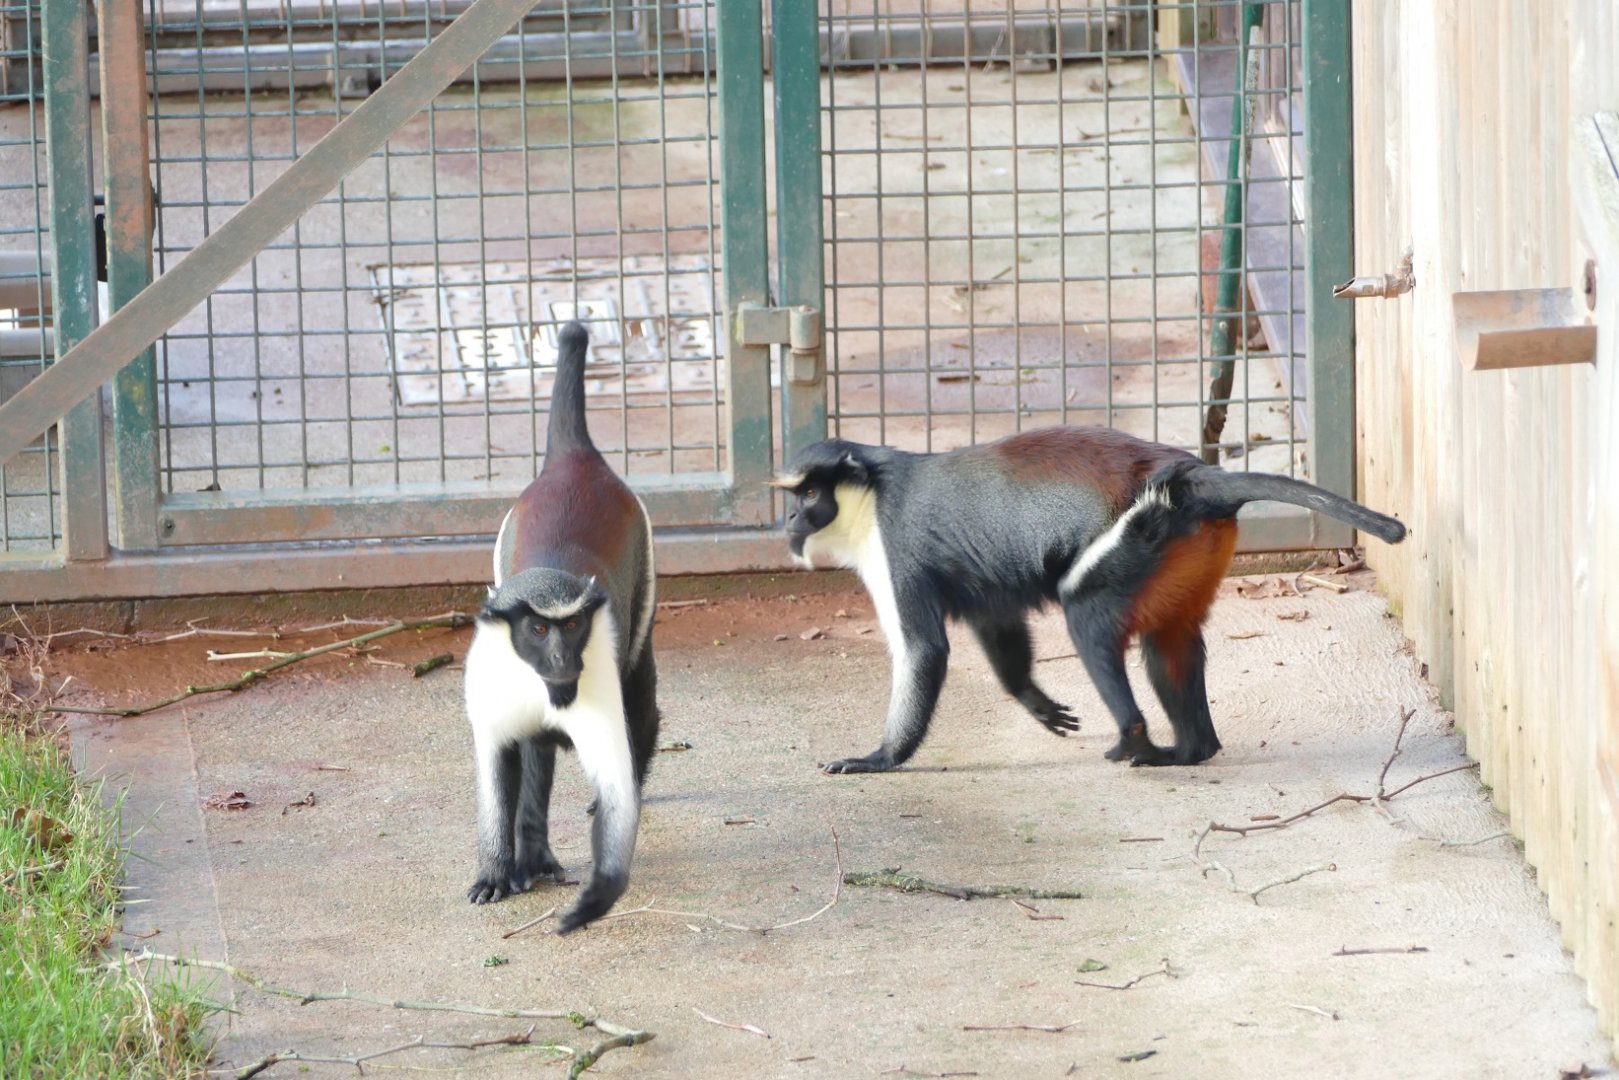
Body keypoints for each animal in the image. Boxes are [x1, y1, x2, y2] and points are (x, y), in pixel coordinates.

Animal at [462, 320, 659, 934]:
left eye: (571, 627)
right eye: (538, 631)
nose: (561, 662)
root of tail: (574, 459)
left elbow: (615, 780)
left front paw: (597, 896)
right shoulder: (490, 686)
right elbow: (502, 767)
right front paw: (496, 870)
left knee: (640, 702)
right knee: (536, 752)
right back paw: (534, 858)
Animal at [771, 426, 1406, 773]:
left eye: (811, 493)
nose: (791, 520)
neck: (871, 491)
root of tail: (1193, 475)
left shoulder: (897, 549)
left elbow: (924, 650)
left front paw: (879, 758)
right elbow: (996, 620)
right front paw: (1034, 700)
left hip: (1136, 535)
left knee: (1088, 621)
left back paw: (1134, 737)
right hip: (1184, 550)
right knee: (1171, 641)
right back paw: (1189, 750)